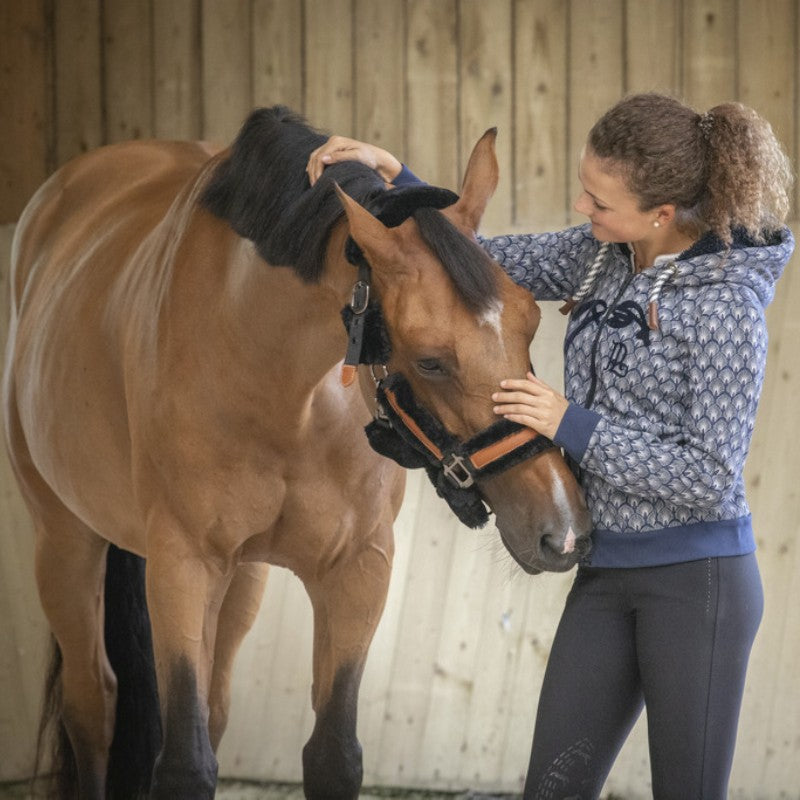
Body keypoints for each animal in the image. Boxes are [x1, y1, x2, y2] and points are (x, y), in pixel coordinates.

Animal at [0, 108, 592, 800]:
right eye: (430, 361)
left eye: (531, 322)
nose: (563, 529)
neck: (284, 389)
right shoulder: (181, 564)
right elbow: (184, 761)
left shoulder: (358, 569)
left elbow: (333, 752)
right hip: (65, 542)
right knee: (92, 706)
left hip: (241, 578)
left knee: (212, 707)